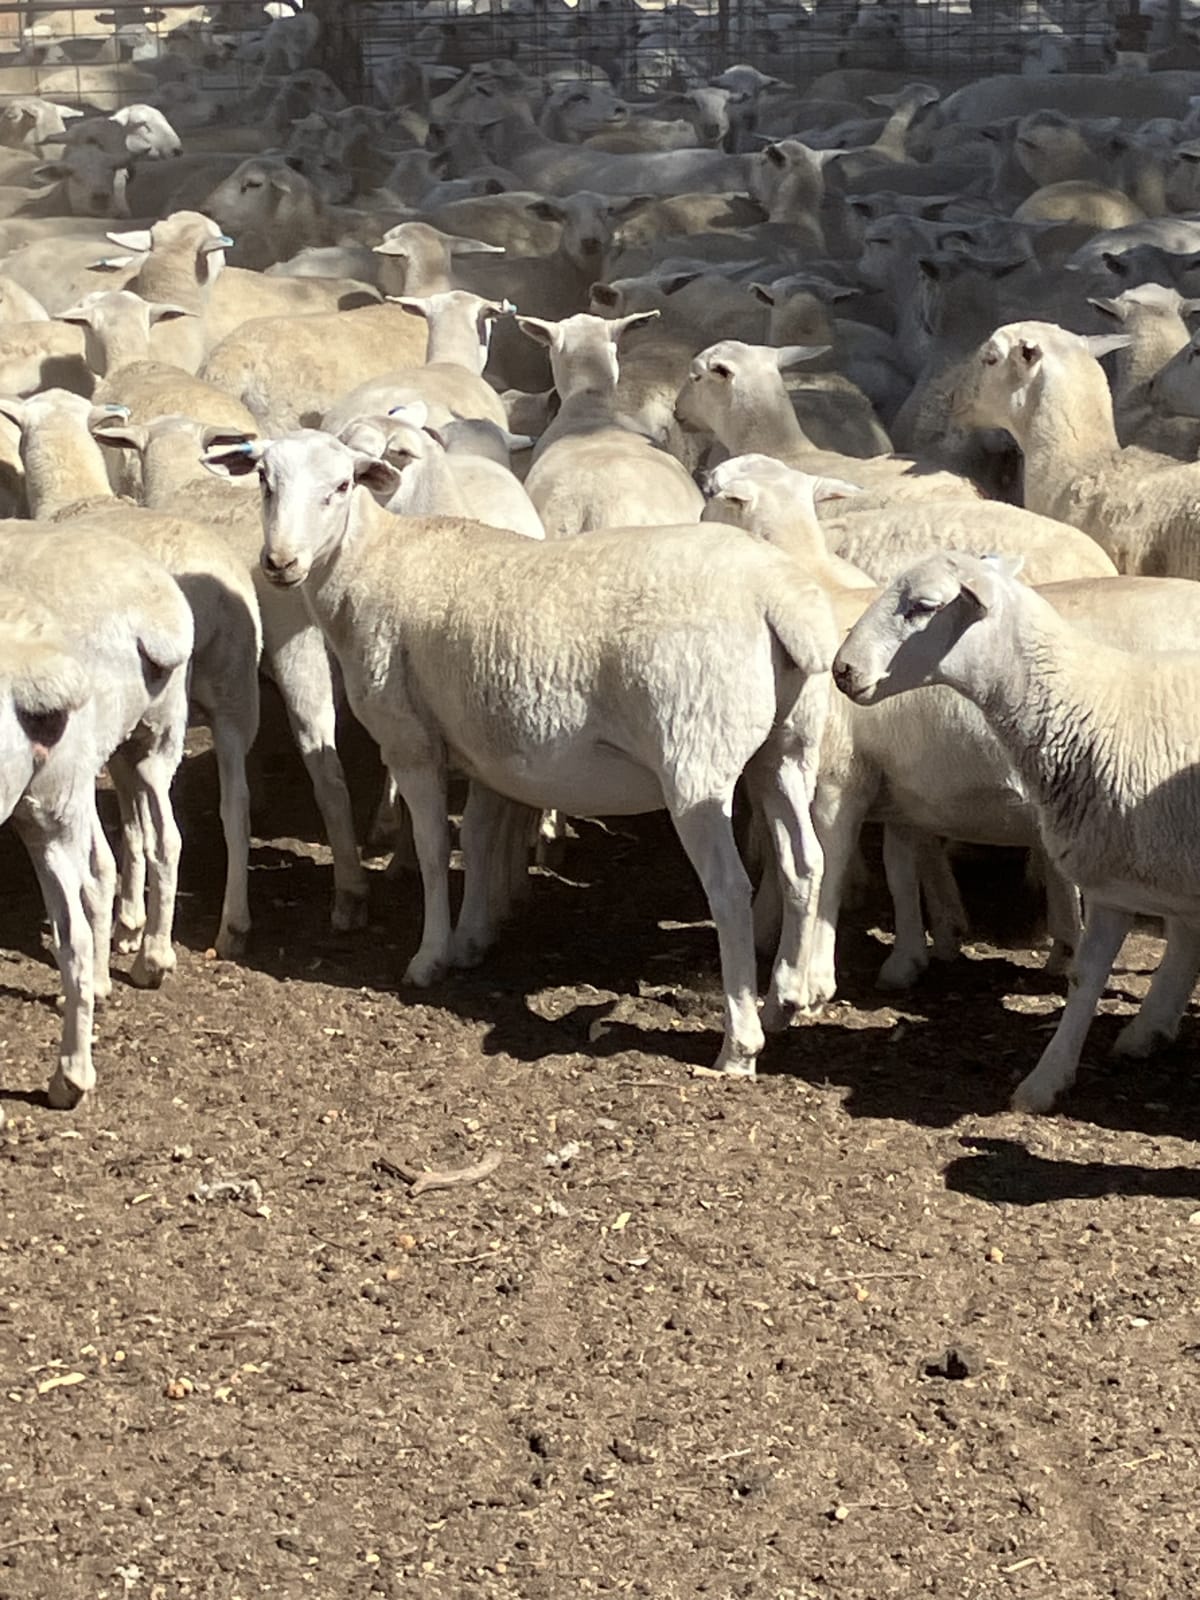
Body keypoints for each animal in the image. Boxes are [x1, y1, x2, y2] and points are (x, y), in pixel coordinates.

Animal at [203, 427, 837, 1077]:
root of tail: (775, 598)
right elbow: (480, 839)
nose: (279, 564)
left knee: (730, 890)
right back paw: (783, 1002)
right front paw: (472, 940)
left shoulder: (411, 739)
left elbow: (435, 849)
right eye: (264, 481)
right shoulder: (486, 747)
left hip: (696, 760)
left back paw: (739, 1044)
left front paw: (430, 957)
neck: (371, 566)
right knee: (804, 863)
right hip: (787, 749)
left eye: (339, 486)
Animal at [834, 549, 1200, 1112]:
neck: (1100, 705)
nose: (841, 670)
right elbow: (1085, 976)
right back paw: (1147, 1032)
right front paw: (1046, 1081)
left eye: (924, 606)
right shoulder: (1113, 876)